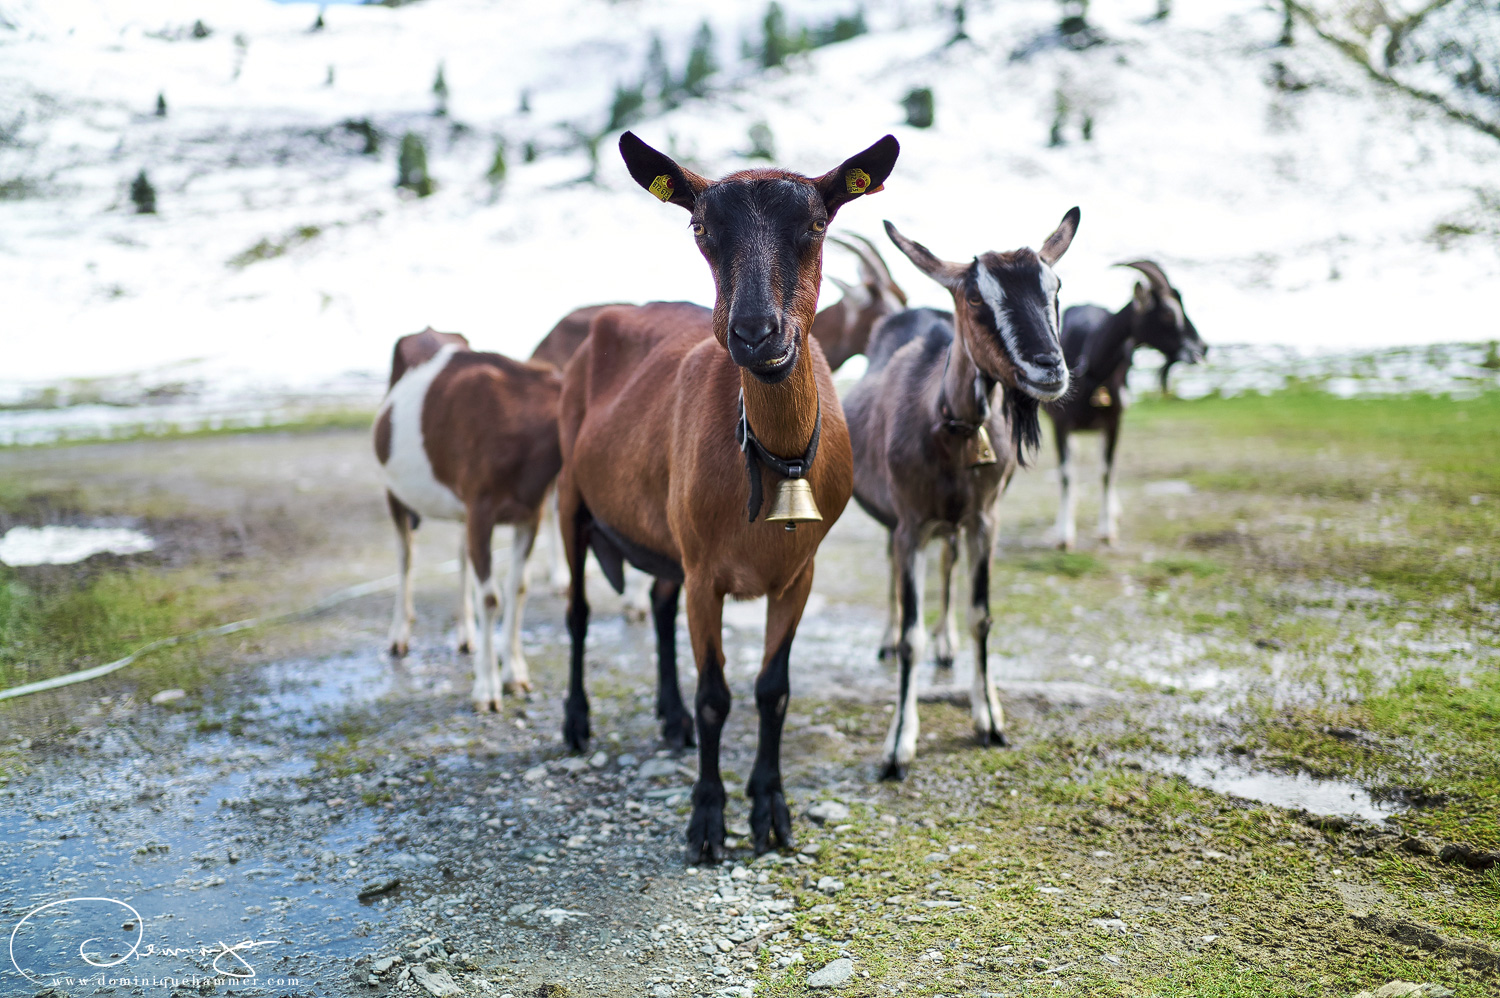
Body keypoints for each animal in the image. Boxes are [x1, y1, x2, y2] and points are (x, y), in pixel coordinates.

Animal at [374, 327, 562, 711]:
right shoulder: (481, 509)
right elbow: (490, 597)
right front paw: (487, 690)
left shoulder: (529, 512)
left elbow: (518, 588)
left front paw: (515, 674)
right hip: (395, 490)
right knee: (405, 556)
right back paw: (399, 634)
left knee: (461, 557)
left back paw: (466, 634)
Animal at [556, 132, 899, 863]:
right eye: (700, 228)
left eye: (817, 223)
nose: (755, 333)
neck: (771, 460)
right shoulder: (706, 573)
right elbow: (715, 695)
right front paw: (707, 820)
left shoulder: (797, 574)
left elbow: (773, 690)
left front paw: (771, 810)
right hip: (572, 495)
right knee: (577, 613)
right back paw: (576, 722)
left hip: (664, 533)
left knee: (659, 607)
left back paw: (670, 718)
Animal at [843, 211, 1079, 780]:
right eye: (975, 298)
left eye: (1056, 286)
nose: (1048, 368)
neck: (949, 423)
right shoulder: (909, 523)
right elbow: (911, 634)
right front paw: (897, 745)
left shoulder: (983, 520)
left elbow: (981, 615)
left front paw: (989, 717)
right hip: (898, 522)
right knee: (892, 571)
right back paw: (885, 640)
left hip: (950, 525)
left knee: (947, 567)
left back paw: (947, 647)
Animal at [1044, 260, 1206, 550]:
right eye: (1167, 313)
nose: (1202, 348)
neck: (1091, 370)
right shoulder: (1060, 424)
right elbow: (1066, 474)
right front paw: (1064, 533)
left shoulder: (1114, 421)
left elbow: (1107, 471)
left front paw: (1107, 529)